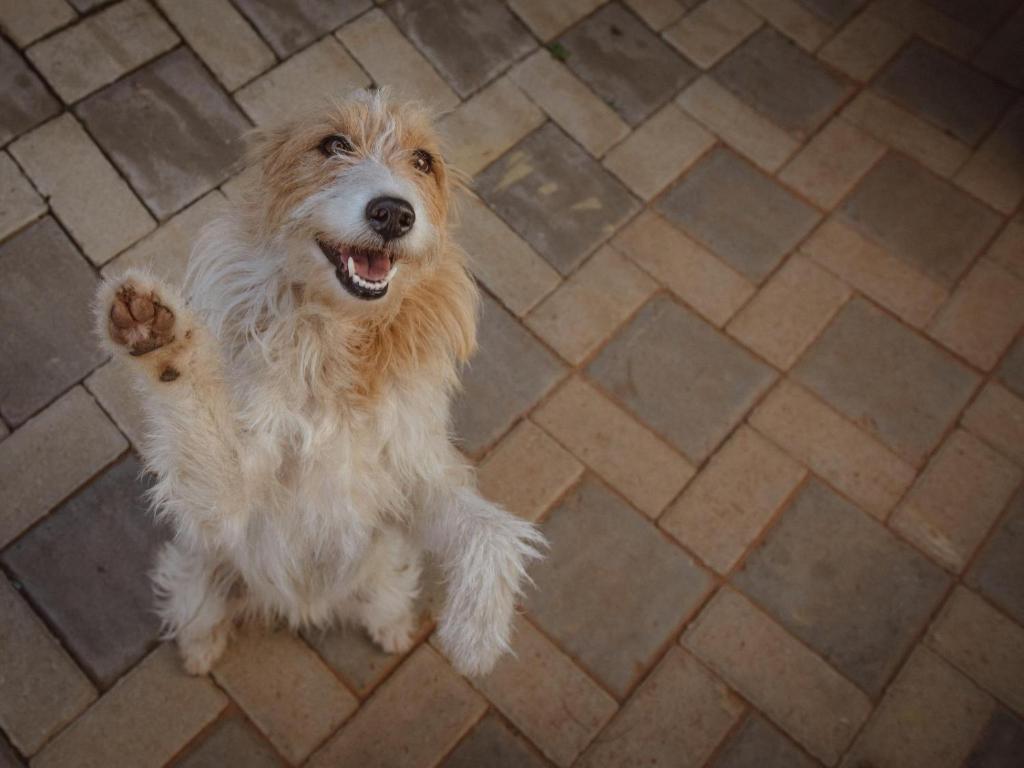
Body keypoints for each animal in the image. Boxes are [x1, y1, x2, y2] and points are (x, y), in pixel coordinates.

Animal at [96, 89, 544, 677]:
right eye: (333, 144)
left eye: (423, 160)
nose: (393, 213)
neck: (337, 346)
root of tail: (303, 608)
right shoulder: (232, 504)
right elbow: (199, 424)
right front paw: (160, 339)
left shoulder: (413, 476)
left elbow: (490, 530)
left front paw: (478, 630)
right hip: (199, 568)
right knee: (198, 605)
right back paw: (200, 650)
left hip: (385, 566)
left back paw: (392, 630)